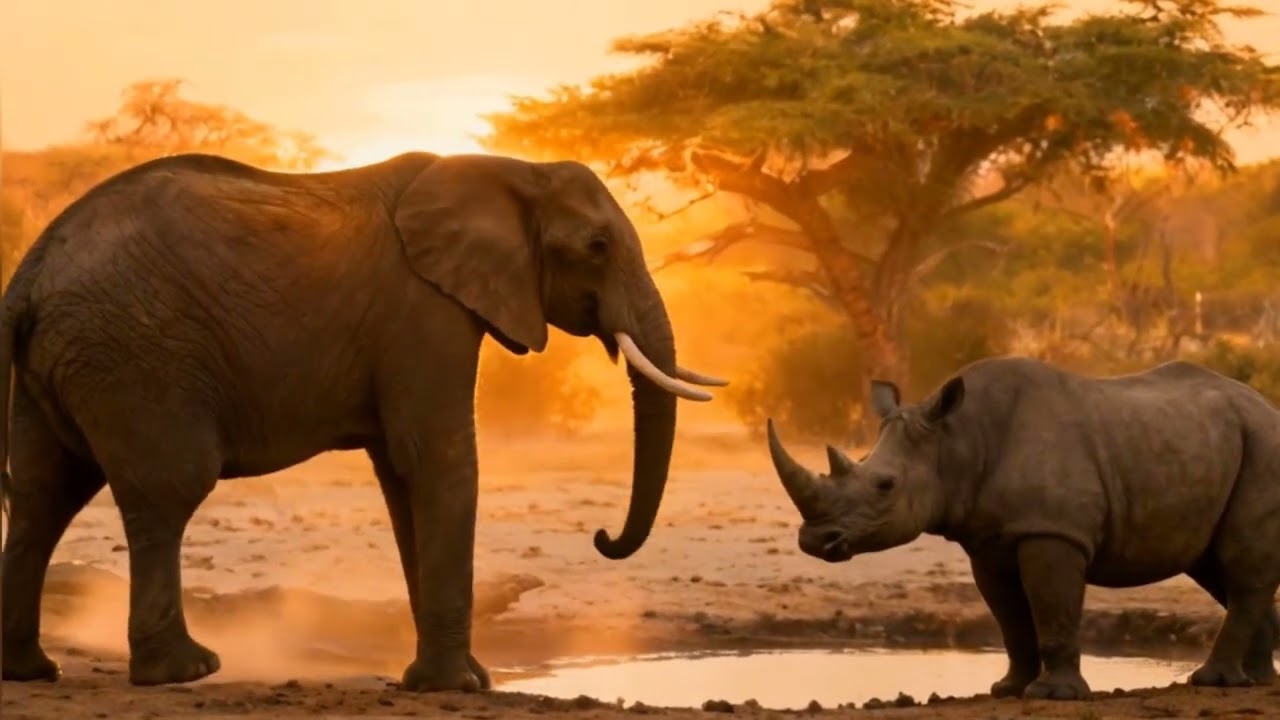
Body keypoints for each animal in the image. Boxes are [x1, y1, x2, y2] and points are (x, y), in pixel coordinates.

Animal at [0, 151, 726, 691]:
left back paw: (30, 671)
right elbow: (437, 459)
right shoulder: (424, 310)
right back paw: (184, 672)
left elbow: (404, 476)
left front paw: (457, 679)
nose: (602, 537)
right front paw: (455, 687)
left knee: (43, 498)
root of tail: (30, 271)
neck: (512, 168)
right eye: (598, 246)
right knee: (166, 491)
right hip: (135, 358)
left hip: (72, 365)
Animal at [766, 356, 1280, 700]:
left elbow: (1052, 608)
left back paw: (1213, 682)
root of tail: (1268, 407)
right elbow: (1009, 619)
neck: (957, 440)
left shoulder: (1051, 531)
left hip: (1263, 447)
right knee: (1217, 568)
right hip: (1217, 445)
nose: (814, 540)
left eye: (884, 486)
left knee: (1239, 566)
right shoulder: (988, 542)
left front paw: (1055, 695)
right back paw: (1254, 682)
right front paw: (1008, 689)